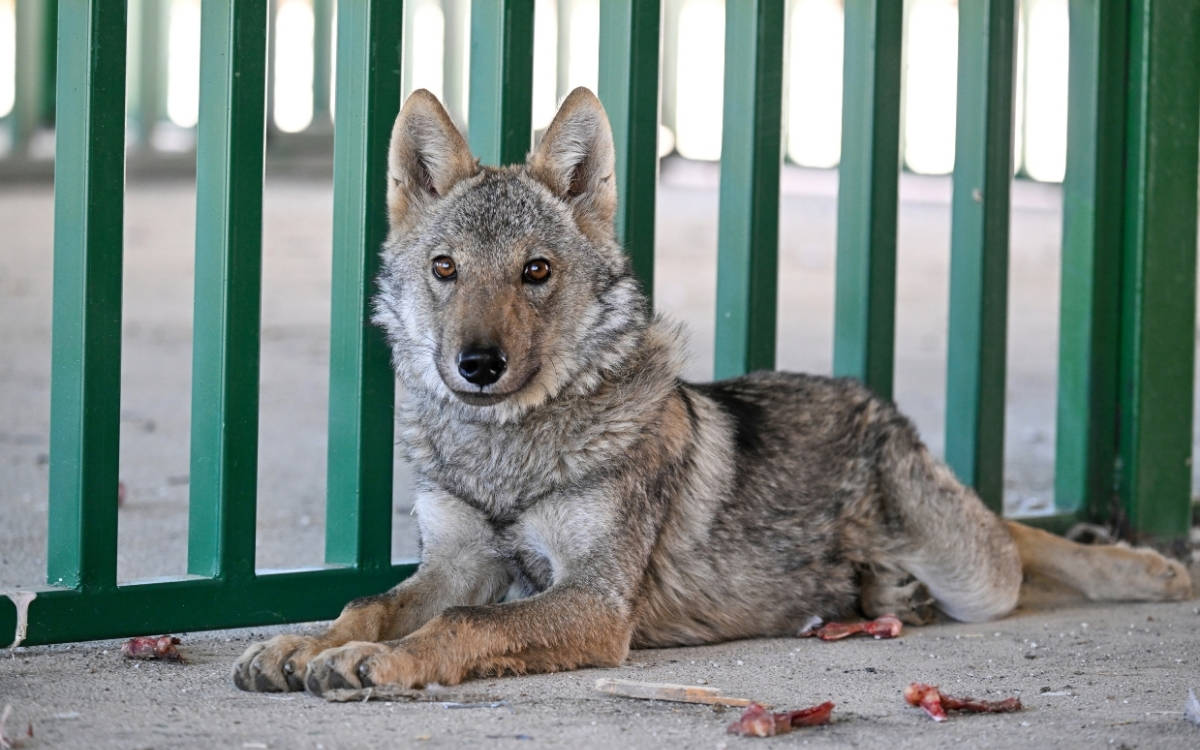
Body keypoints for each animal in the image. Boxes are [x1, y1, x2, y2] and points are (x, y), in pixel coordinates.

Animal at [233, 87, 1192, 695]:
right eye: (445, 270)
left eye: (535, 271)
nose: (476, 365)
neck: (507, 452)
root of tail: (872, 399)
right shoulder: (456, 562)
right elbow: (369, 604)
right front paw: (300, 644)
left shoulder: (594, 602)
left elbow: (464, 625)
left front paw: (376, 664)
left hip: (974, 574)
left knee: (1019, 540)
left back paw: (1148, 567)